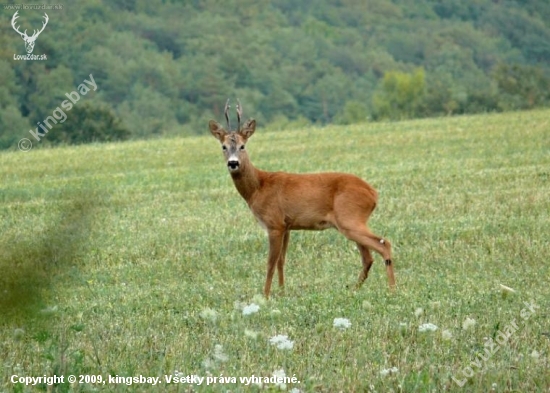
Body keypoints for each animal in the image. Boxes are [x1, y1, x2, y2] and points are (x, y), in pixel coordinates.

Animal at [211, 99, 396, 296]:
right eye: (223, 146)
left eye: (242, 146)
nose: (233, 163)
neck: (258, 188)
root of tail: (373, 193)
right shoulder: (287, 226)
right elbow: (281, 260)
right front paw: (282, 292)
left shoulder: (274, 224)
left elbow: (270, 263)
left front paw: (265, 295)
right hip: (352, 221)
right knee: (368, 257)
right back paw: (354, 289)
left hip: (350, 218)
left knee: (383, 244)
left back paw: (392, 289)